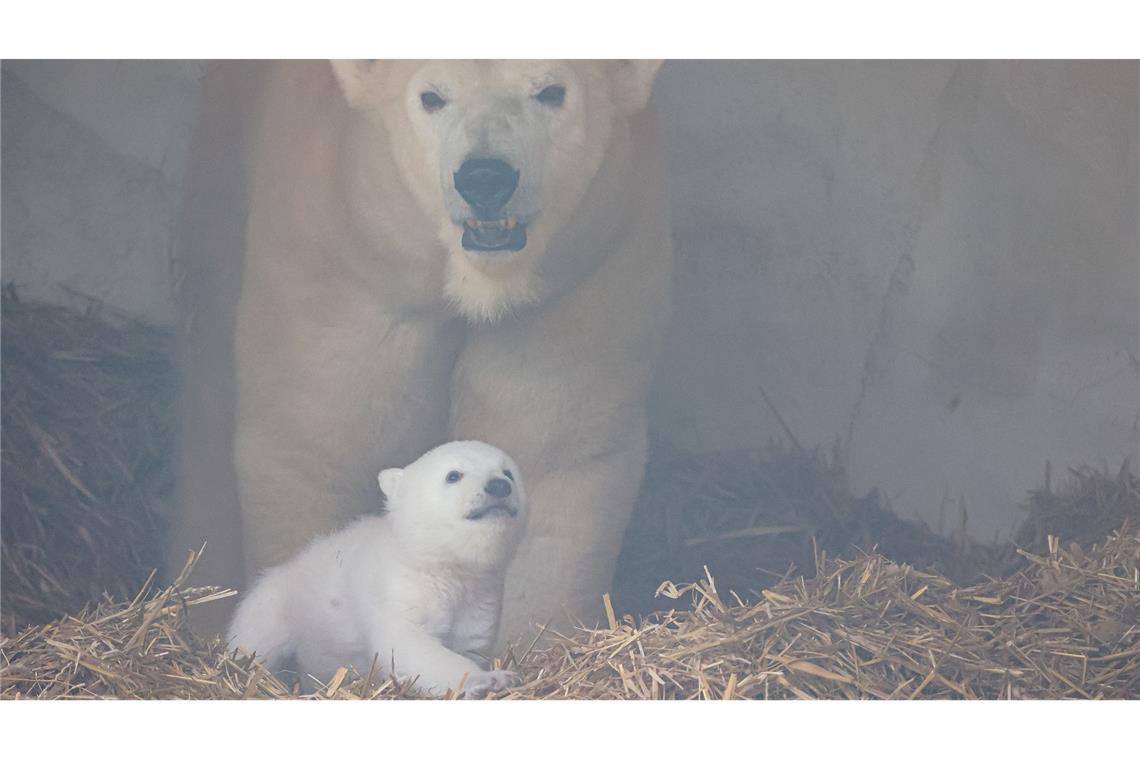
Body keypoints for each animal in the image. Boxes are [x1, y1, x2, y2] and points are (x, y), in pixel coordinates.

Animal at [167, 59, 665, 647]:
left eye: (550, 91)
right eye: (432, 97)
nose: (485, 178)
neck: (479, 289)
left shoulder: (577, 281)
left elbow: (550, 451)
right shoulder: (341, 263)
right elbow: (316, 443)